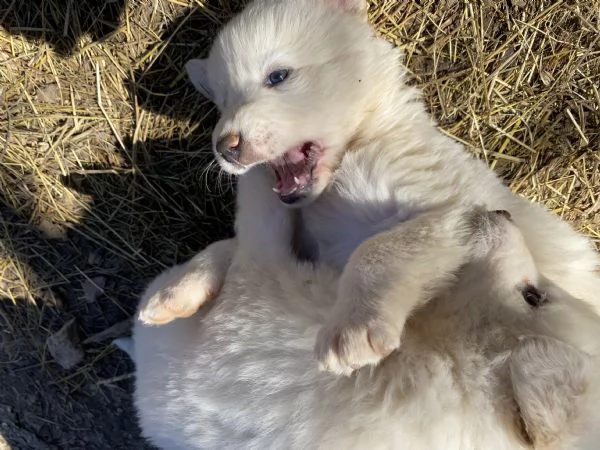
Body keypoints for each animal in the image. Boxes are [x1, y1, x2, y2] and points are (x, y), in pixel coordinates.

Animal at [137, 0, 600, 374]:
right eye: (221, 103)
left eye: (278, 76)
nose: (225, 148)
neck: (362, 144)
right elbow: (232, 244)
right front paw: (174, 291)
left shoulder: (455, 211)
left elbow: (380, 248)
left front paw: (352, 330)